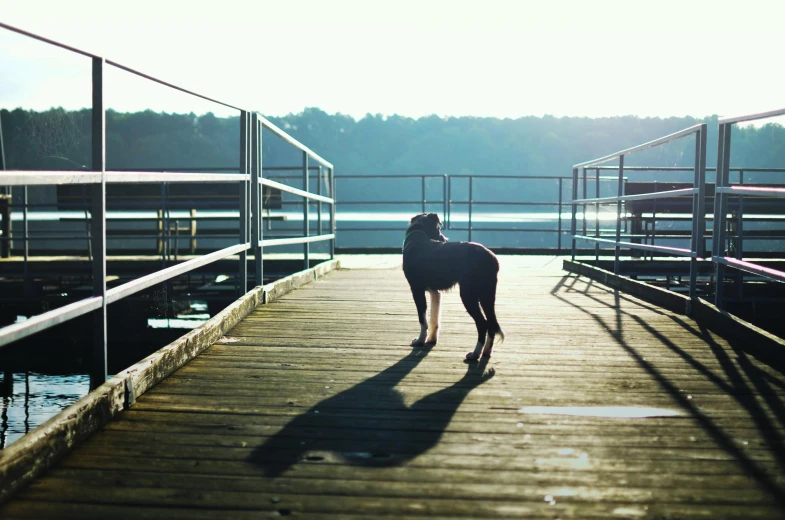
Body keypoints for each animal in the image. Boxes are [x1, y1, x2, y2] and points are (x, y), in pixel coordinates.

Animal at [402, 213, 506, 360]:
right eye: (439, 229)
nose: (445, 239)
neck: (418, 235)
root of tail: (492, 258)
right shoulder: (435, 292)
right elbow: (434, 318)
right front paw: (431, 340)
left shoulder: (416, 289)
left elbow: (422, 319)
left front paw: (420, 341)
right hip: (487, 295)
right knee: (491, 323)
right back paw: (486, 352)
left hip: (468, 294)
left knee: (482, 324)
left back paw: (475, 354)